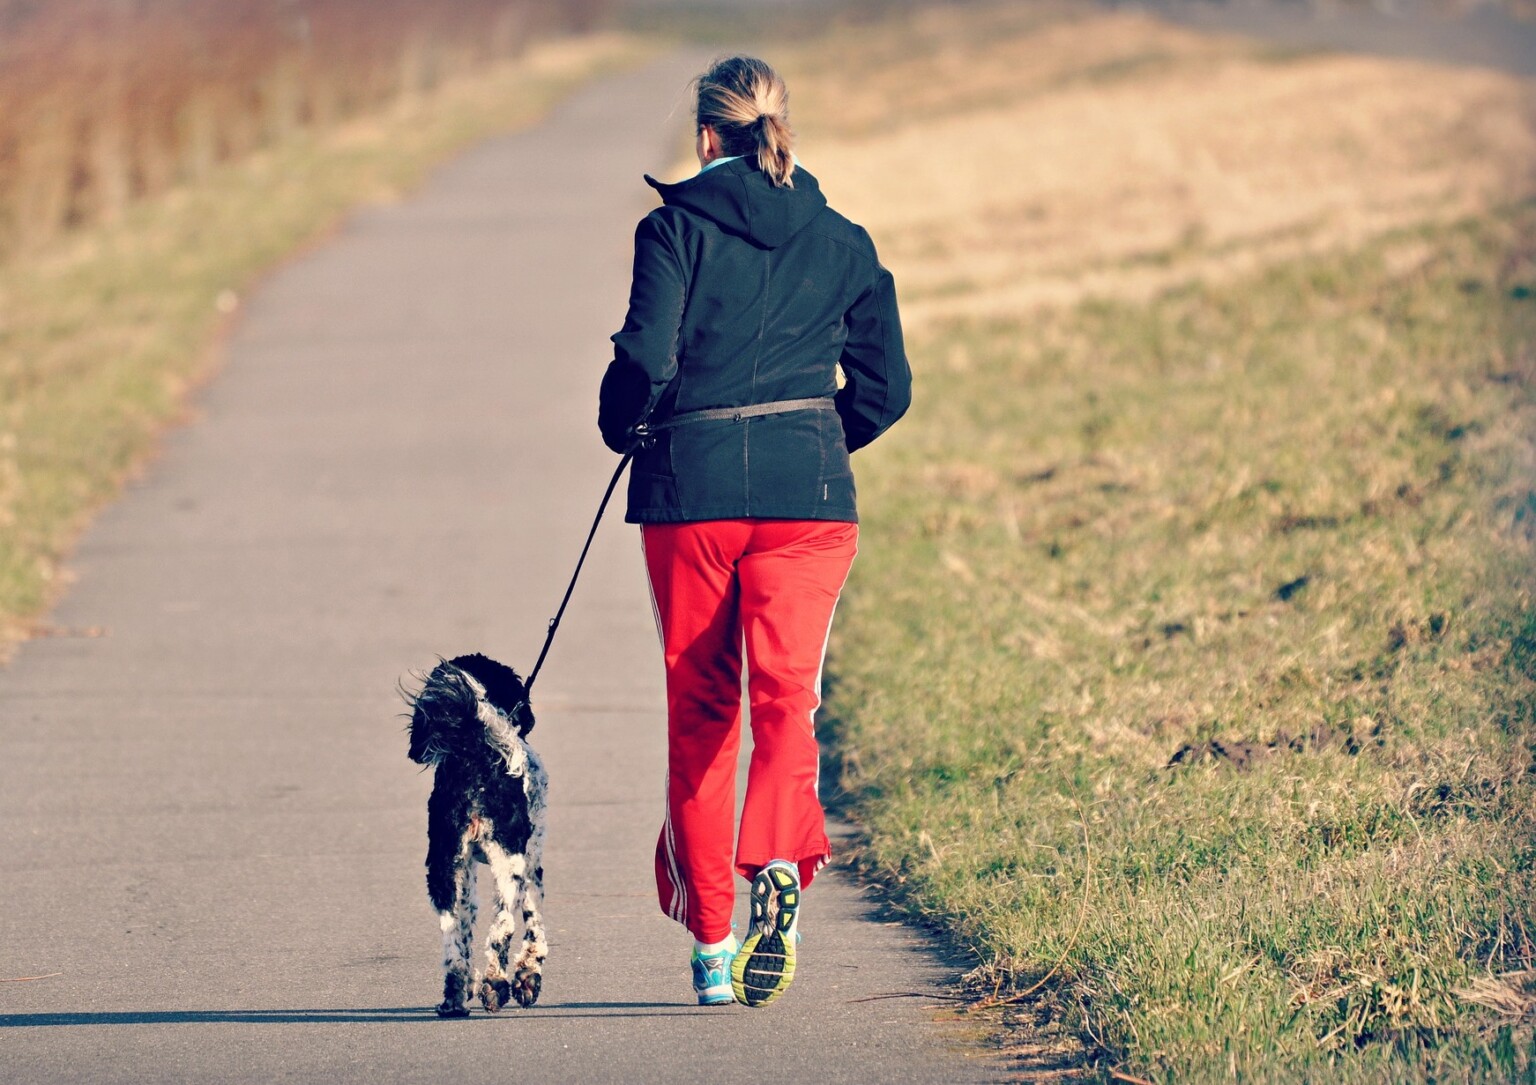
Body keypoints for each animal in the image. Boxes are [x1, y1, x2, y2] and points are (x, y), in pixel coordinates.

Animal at [405, 651, 549, 1014]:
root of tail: (476, 758)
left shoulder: (466, 867)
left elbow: (466, 927)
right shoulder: (532, 863)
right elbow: (534, 925)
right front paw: (528, 976)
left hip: (442, 866)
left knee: (451, 939)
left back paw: (455, 995)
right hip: (510, 862)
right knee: (504, 927)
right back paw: (495, 985)